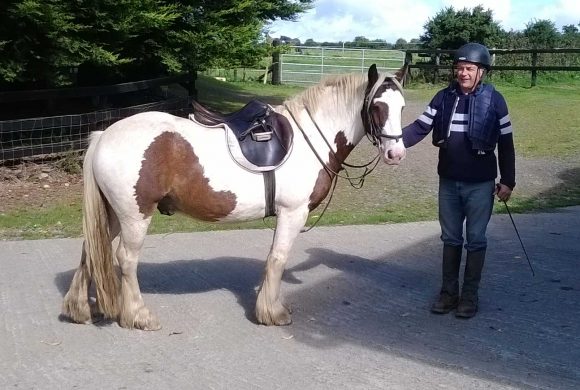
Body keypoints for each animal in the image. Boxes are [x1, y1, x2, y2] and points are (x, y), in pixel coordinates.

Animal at [62, 63, 408, 330]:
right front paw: (272, 313)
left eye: (402, 107)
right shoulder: (293, 213)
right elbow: (278, 259)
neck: (309, 136)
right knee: (126, 259)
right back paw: (139, 316)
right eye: (377, 107)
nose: (396, 153)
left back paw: (80, 310)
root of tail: (104, 135)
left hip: (112, 214)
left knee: (91, 249)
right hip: (135, 215)